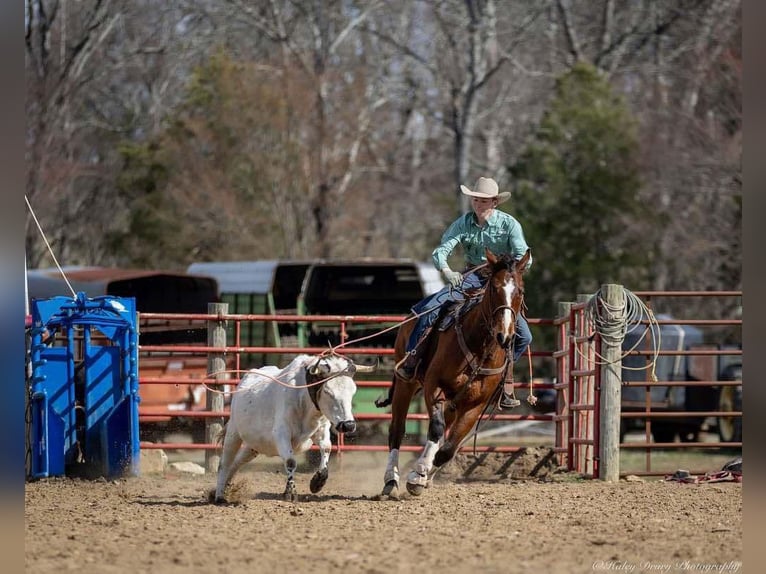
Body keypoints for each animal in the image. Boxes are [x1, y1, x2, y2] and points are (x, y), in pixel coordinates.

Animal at [376, 250, 532, 498]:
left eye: (521, 291)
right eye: (494, 288)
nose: (504, 336)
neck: (480, 348)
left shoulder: (475, 405)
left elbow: (448, 449)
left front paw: (422, 476)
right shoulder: (434, 385)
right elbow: (436, 429)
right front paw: (417, 474)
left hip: (453, 401)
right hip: (405, 384)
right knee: (397, 430)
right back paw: (391, 481)